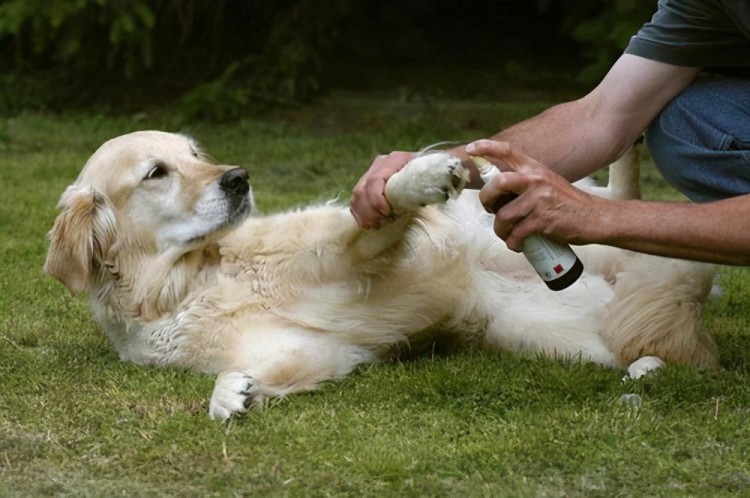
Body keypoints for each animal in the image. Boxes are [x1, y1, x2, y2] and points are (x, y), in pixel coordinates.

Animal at [44, 132, 720, 420]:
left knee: (616, 199)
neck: (191, 279)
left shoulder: (349, 252)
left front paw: (421, 175)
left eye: (195, 155)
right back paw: (649, 367)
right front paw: (235, 396)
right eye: (156, 172)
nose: (237, 179)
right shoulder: (305, 351)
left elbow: (382, 204)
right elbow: (241, 381)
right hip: (554, 332)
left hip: (550, 224)